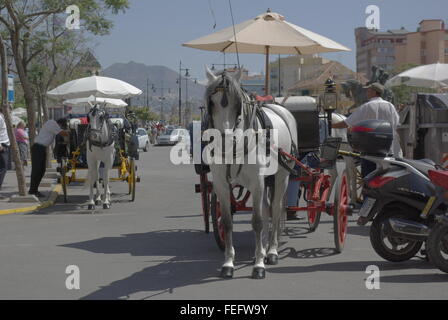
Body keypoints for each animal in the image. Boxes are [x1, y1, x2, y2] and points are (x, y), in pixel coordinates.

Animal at [206, 68, 298, 280]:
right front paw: (228, 263)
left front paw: (258, 265)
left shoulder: (257, 183)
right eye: (211, 103)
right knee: (266, 210)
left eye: (237, 104)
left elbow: (257, 221)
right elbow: (228, 223)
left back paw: (271, 251)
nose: (225, 140)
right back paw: (263, 249)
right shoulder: (221, 185)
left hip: (281, 177)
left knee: (275, 210)